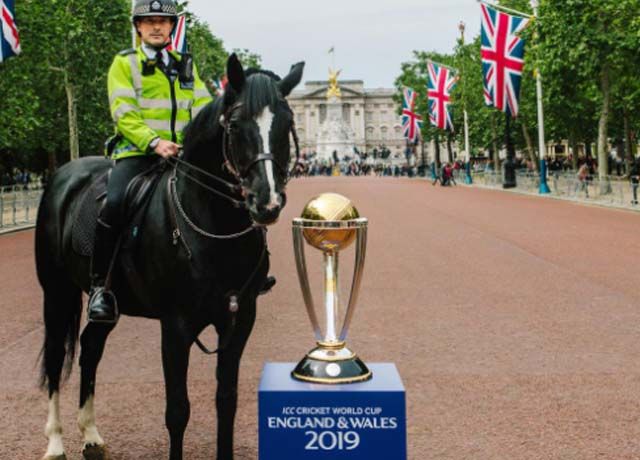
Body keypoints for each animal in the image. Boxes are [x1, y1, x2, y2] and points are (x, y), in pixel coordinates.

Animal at [35, 54, 304, 460]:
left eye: (287, 124)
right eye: (235, 124)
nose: (266, 203)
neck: (215, 230)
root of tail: (65, 171)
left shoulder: (239, 319)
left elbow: (227, 399)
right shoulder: (175, 325)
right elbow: (177, 410)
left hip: (110, 301)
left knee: (90, 348)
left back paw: (91, 434)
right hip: (57, 291)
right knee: (55, 356)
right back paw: (54, 441)